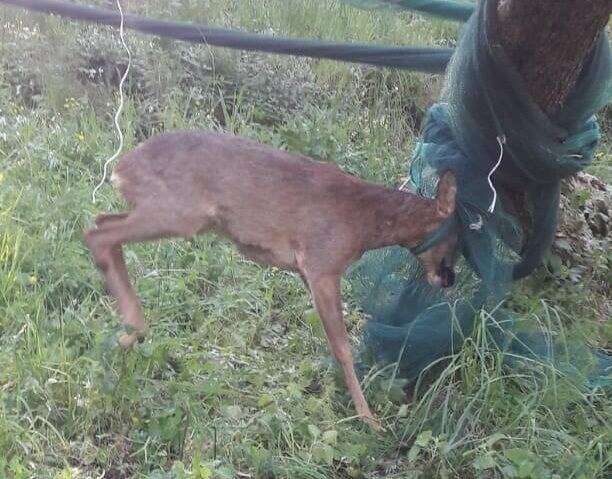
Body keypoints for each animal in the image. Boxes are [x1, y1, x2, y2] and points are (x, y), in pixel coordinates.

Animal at [86, 129, 460, 430]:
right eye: (456, 239)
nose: (448, 279)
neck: (365, 225)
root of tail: (123, 167)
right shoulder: (322, 264)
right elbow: (342, 347)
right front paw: (369, 420)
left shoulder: (309, 272)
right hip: (179, 212)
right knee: (98, 233)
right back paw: (125, 337)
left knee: (101, 221)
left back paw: (123, 338)